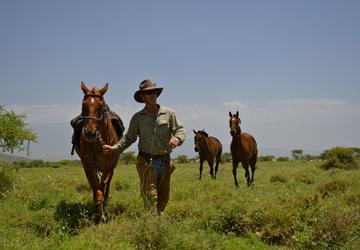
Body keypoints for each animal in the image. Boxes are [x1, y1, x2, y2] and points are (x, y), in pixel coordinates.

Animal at [74, 81, 122, 223]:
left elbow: (102, 185)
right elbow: (96, 189)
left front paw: (102, 213)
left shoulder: (107, 165)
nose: (90, 133)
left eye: (101, 106)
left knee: (109, 180)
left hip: (113, 165)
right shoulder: (87, 165)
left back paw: (106, 197)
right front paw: (98, 212)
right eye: (83, 104)